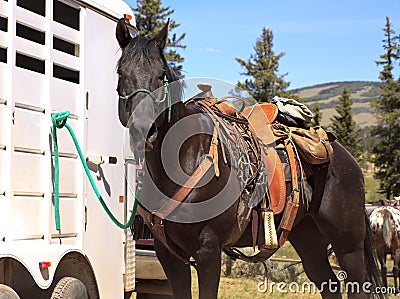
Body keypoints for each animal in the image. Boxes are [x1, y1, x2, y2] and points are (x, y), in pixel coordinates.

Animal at [115, 19, 384, 299]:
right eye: (121, 73)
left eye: (161, 76)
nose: (143, 129)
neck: (184, 160)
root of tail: (347, 158)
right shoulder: (168, 255)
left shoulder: (208, 250)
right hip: (308, 240)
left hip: (348, 245)